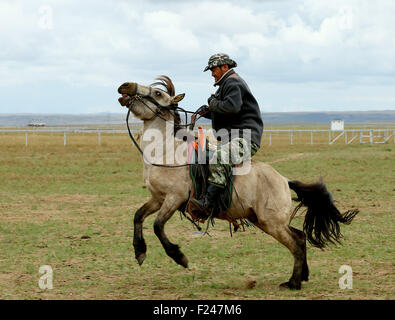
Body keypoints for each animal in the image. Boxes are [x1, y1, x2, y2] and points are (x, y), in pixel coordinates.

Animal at [117, 75, 358, 290]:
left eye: (158, 93)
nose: (125, 86)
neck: (166, 152)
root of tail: (283, 180)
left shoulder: (174, 199)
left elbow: (158, 226)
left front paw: (180, 257)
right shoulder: (157, 199)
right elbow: (138, 216)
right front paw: (140, 252)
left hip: (272, 222)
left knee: (296, 243)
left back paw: (294, 283)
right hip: (263, 221)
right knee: (300, 236)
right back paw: (302, 276)